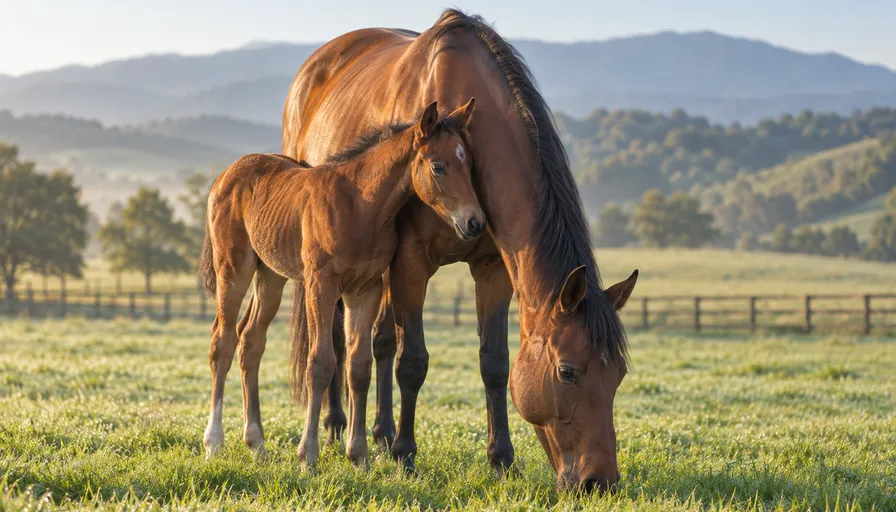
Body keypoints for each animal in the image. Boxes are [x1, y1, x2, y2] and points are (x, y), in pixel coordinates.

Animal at [198, 99, 483, 468]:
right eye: (438, 166)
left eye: (470, 164)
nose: (475, 222)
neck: (361, 205)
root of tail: (226, 175)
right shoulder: (321, 284)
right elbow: (320, 362)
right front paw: (308, 455)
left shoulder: (366, 289)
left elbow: (359, 366)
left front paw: (359, 455)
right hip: (234, 268)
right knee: (222, 341)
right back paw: (214, 442)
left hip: (270, 275)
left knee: (250, 340)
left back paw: (257, 444)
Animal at [281, 10, 638, 492]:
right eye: (568, 371)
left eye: (618, 374)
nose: (599, 482)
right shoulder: (411, 263)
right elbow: (412, 362)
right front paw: (406, 456)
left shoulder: (492, 269)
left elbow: (495, 363)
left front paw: (501, 459)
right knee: (339, 337)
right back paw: (339, 429)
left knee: (378, 343)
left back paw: (380, 435)